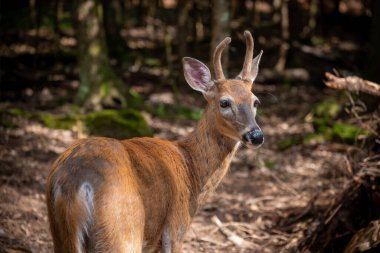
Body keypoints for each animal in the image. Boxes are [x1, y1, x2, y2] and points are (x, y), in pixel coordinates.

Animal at [45, 30, 264, 252]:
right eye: (224, 102)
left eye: (256, 101)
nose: (256, 135)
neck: (191, 169)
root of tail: (73, 181)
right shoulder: (175, 229)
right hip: (121, 231)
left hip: (62, 236)